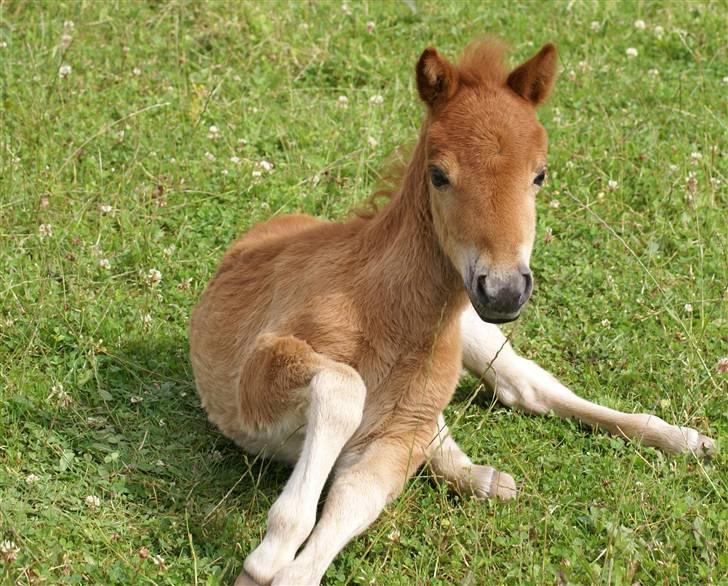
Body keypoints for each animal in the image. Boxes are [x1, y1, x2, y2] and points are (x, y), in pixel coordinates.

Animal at [189, 38, 716, 580]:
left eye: (540, 175)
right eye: (439, 175)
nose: (503, 290)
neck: (381, 309)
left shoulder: (397, 436)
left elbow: (353, 500)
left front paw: (275, 565)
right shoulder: (258, 371)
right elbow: (343, 388)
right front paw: (270, 555)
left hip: (477, 334)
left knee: (527, 387)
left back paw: (682, 439)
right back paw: (482, 477)